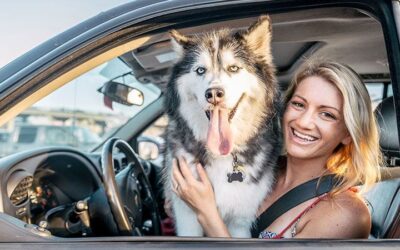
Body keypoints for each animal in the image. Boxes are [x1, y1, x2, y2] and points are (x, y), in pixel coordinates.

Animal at [162, 15, 282, 238]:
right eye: (200, 70)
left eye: (233, 68)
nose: (214, 93)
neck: (224, 156)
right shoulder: (187, 219)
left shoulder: (240, 222)